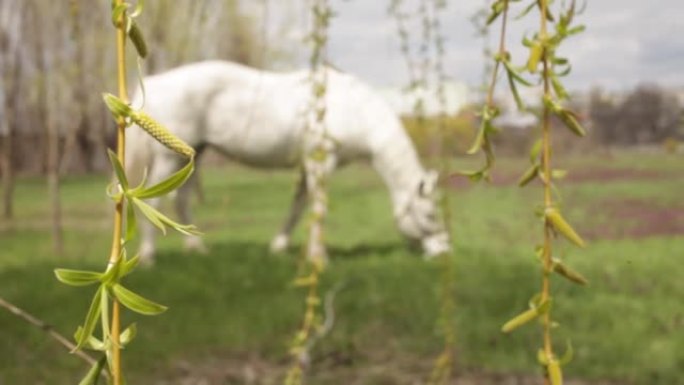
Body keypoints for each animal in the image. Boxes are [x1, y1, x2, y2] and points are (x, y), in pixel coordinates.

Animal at [125, 60, 452, 264]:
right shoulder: (322, 163)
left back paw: (199, 250)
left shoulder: (308, 167)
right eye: (430, 214)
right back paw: (149, 257)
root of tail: (155, 81)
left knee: (181, 200)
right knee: (153, 202)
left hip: (194, 153)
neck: (355, 109)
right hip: (168, 157)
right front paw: (320, 258)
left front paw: (281, 247)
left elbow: (298, 206)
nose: (444, 252)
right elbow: (317, 208)